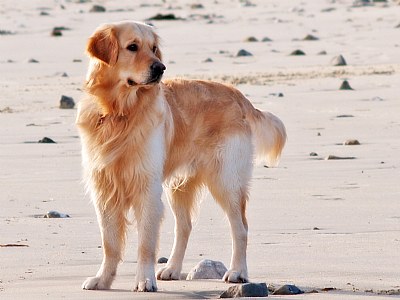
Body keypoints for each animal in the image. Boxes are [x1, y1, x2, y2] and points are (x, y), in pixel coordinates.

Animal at [76, 21, 286, 292]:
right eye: (132, 47)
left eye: (154, 48)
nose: (160, 68)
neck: (119, 112)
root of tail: (239, 96)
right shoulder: (104, 188)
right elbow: (110, 243)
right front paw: (102, 280)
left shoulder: (147, 187)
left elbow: (145, 243)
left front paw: (144, 280)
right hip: (178, 186)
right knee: (184, 226)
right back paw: (172, 269)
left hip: (226, 180)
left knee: (241, 227)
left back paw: (238, 272)